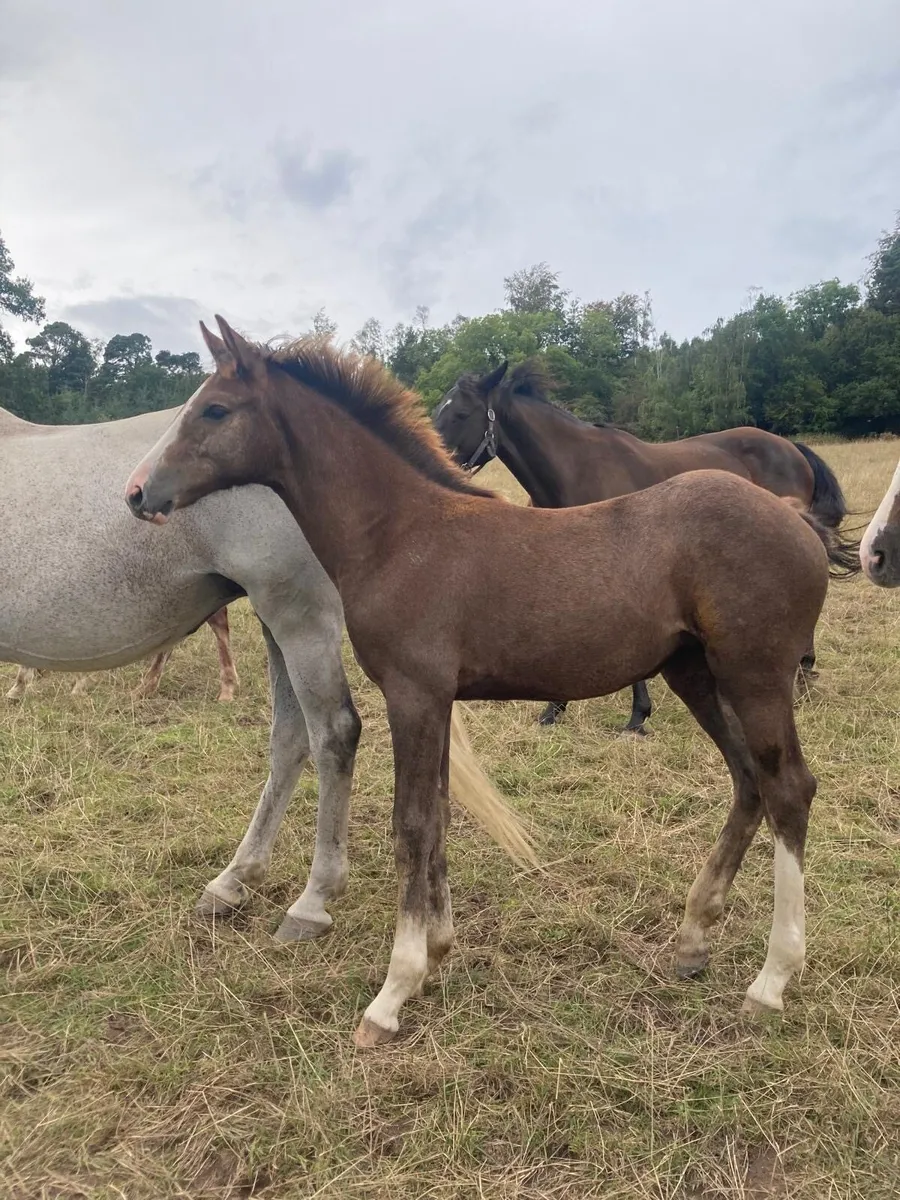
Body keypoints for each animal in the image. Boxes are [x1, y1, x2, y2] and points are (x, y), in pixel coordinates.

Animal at [434, 361, 855, 732]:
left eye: (461, 414)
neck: (576, 470)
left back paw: (801, 671)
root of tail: (791, 447)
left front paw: (638, 716)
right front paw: (554, 709)